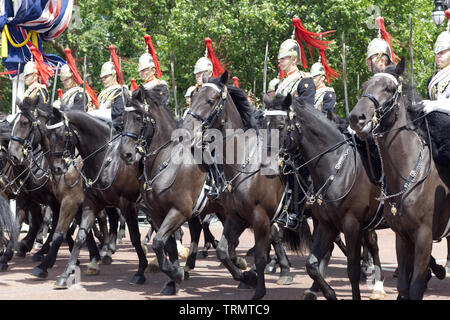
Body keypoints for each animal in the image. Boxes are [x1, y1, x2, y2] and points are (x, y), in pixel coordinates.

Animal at [348, 61, 450, 298]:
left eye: (389, 88)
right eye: (365, 85)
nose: (356, 118)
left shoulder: (423, 237)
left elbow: (415, 288)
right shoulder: (402, 237)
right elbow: (404, 286)